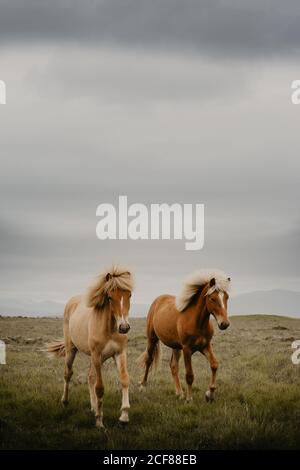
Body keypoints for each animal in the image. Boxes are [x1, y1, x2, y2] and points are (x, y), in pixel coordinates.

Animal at [47, 266, 134, 428]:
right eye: (110, 297)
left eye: (129, 295)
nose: (124, 327)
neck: (109, 328)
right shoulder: (97, 354)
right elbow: (100, 388)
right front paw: (99, 421)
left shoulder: (120, 353)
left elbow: (124, 379)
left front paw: (124, 416)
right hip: (72, 350)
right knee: (68, 374)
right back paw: (65, 402)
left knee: (90, 377)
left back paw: (93, 407)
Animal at [140, 270, 230, 402]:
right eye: (213, 298)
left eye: (226, 297)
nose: (224, 324)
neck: (197, 322)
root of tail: (158, 300)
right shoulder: (187, 349)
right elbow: (189, 375)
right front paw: (189, 399)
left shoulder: (205, 346)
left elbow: (214, 364)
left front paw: (209, 394)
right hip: (152, 339)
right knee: (148, 360)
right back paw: (143, 386)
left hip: (176, 347)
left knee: (173, 366)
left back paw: (179, 393)